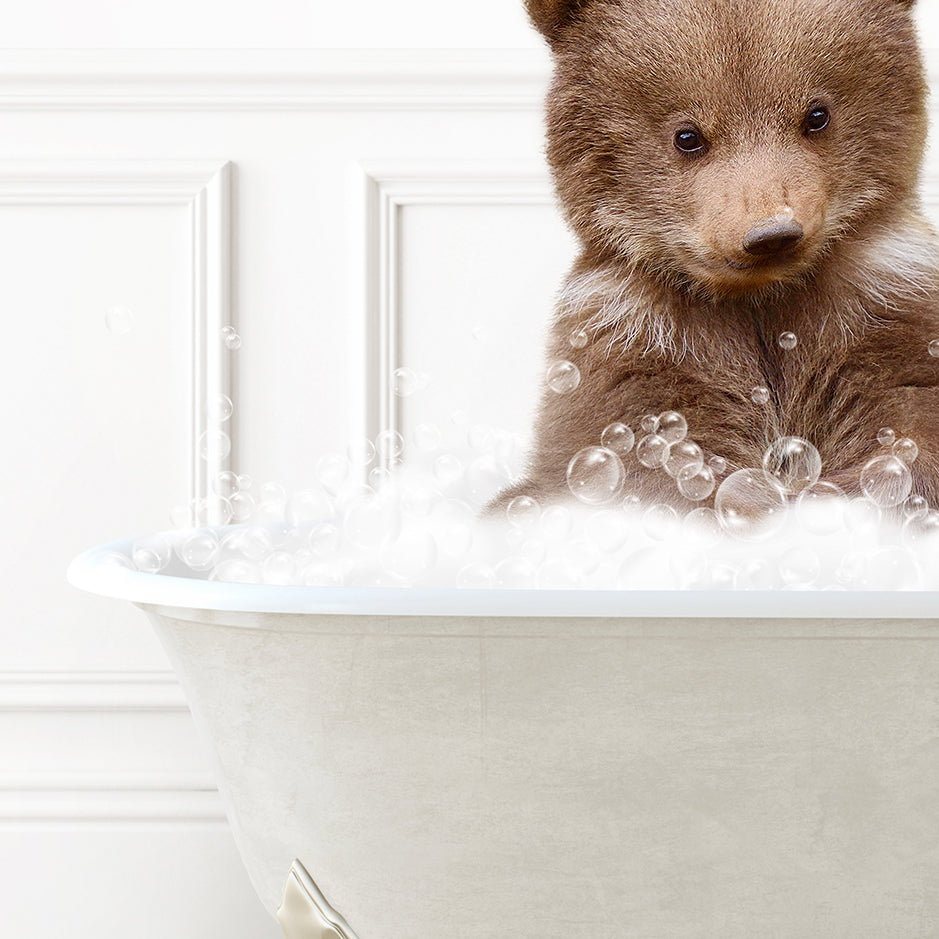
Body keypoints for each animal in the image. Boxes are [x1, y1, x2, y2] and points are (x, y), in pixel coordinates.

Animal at [492, 0, 939, 516]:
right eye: (688, 136)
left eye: (817, 114)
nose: (771, 234)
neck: (759, 299)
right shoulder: (638, 343)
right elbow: (655, 458)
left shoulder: (882, 305)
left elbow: (905, 418)